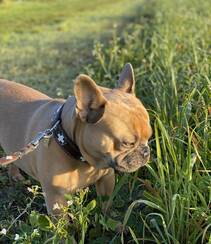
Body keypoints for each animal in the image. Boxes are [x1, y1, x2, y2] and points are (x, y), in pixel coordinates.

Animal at [0, 63, 152, 214]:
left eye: (149, 136)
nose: (146, 152)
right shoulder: (55, 198)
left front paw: (109, 218)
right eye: (128, 143)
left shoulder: (106, 179)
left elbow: (106, 204)